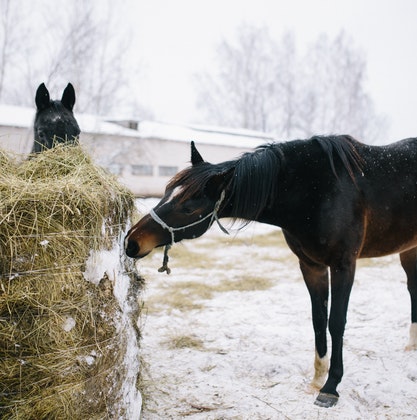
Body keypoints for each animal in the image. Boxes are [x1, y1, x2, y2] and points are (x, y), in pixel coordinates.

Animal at [125, 135, 416, 406]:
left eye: (188, 207)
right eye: (166, 191)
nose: (132, 242)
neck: (316, 190)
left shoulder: (344, 265)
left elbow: (336, 322)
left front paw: (330, 387)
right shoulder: (311, 266)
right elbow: (318, 320)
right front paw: (316, 378)